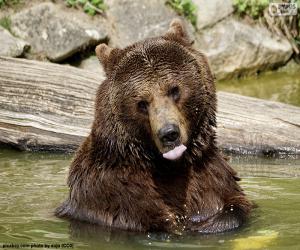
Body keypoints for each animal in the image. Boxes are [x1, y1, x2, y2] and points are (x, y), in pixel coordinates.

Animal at [55, 19, 252, 234]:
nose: (169, 134)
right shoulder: (114, 194)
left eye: (174, 90)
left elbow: (231, 203)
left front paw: (207, 224)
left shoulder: (210, 176)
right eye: (142, 103)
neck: (170, 167)